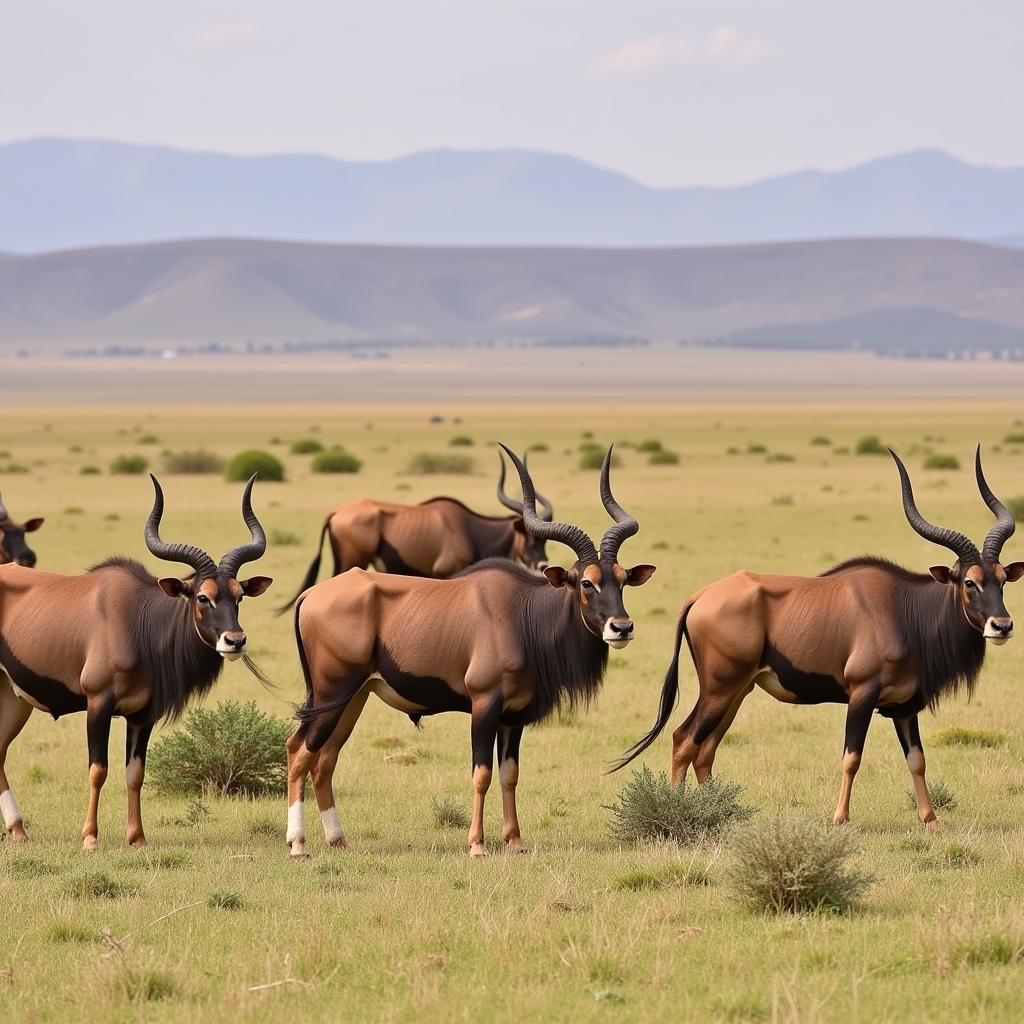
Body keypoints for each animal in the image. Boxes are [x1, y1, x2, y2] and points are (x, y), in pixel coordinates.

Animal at [0, 471, 272, 847]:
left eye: (239, 595)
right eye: (202, 596)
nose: (235, 641)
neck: (138, 622)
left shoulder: (142, 716)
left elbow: (136, 773)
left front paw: (138, 838)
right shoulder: (98, 705)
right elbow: (98, 769)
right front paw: (90, 838)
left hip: (14, 700)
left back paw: (18, 829)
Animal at [610, 448, 1019, 831]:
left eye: (1002, 578)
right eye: (969, 582)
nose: (1002, 625)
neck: (904, 609)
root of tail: (701, 597)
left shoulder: (904, 708)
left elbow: (917, 760)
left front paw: (931, 821)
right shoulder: (862, 695)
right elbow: (852, 757)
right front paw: (840, 818)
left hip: (738, 691)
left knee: (705, 749)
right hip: (719, 689)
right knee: (684, 740)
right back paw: (678, 814)